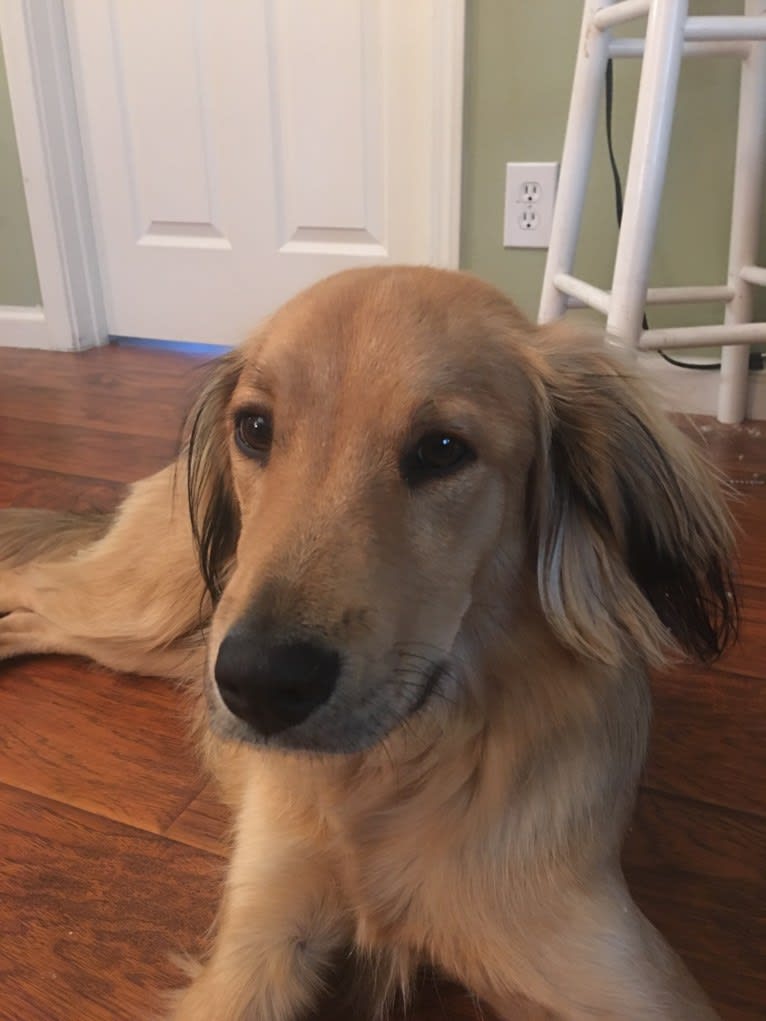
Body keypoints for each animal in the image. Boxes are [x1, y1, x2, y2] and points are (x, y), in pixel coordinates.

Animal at [0, 267, 739, 1016]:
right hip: (151, 613)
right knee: (29, 582)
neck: (396, 765)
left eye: (443, 448)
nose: (258, 685)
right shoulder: (260, 939)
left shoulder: (622, 978)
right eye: (255, 428)